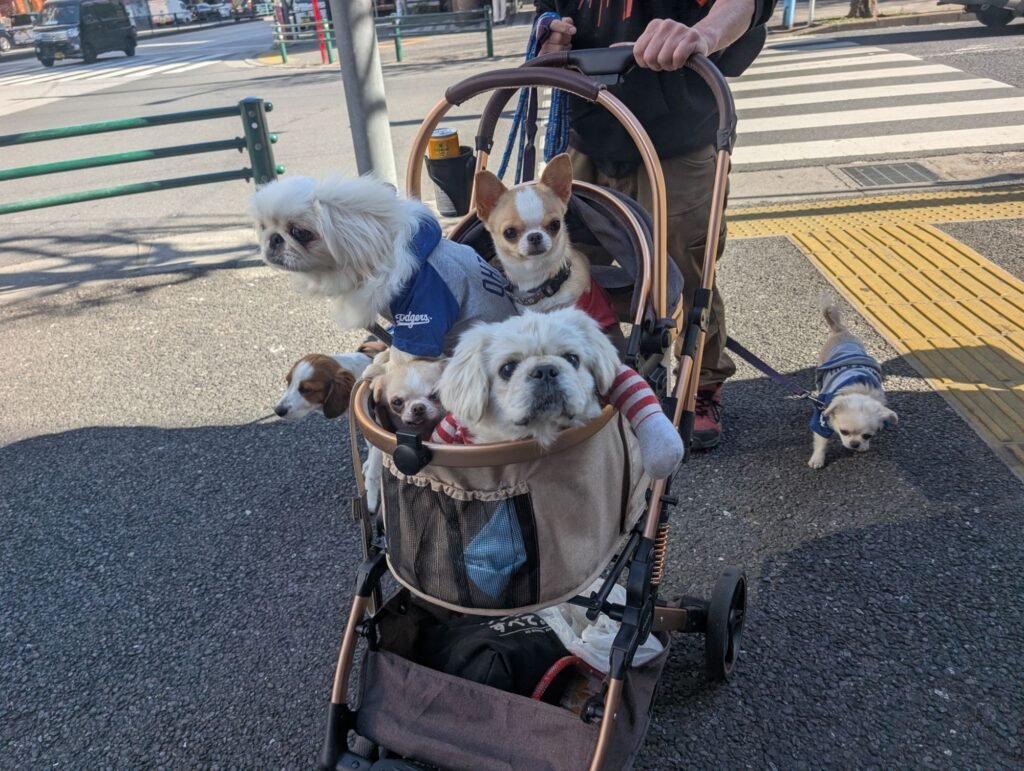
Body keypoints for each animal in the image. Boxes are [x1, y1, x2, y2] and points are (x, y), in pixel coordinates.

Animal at [808, 301, 898, 469]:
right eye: (844, 432)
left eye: (867, 435)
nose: (854, 444)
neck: (860, 390)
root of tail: (841, 331)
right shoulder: (821, 422)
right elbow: (821, 441)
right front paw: (817, 460)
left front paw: (864, 446)